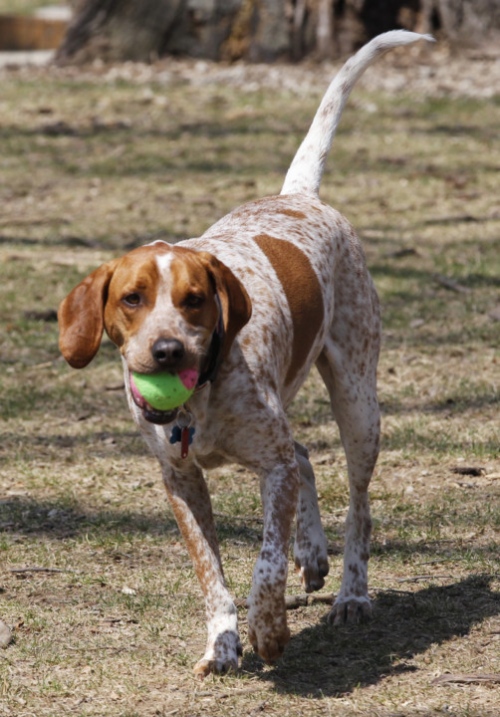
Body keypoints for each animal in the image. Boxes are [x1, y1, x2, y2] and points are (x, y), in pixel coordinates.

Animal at [58, 29, 432, 676]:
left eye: (195, 300)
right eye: (132, 298)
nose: (166, 350)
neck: (200, 400)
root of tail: (298, 194)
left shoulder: (272, 469)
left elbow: (265, 564)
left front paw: (269, 628)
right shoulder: (180, 481)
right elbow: (212, 573)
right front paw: (223, 642)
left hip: (358, 402)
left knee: (358, 504)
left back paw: (352, 592)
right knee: (305, 455)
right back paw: (314, 553)